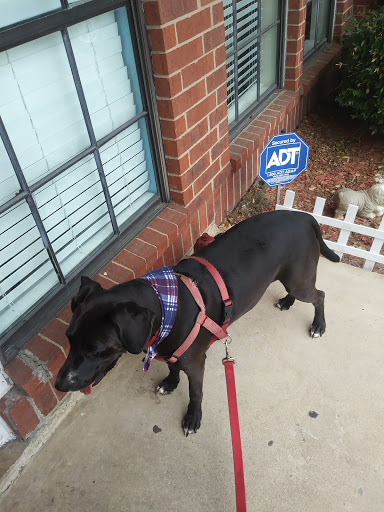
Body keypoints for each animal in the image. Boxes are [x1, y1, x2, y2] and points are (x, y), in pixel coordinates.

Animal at [54, 210, 340, 434]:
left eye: (95, 351)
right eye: (68, 339)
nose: (59, 385)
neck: (166, 307)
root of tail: (303, 216)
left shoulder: (195, 364)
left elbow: (195, 392)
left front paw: (193, 417)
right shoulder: (169, 350)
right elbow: (172, 367)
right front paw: (170, 382)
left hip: (299, 279)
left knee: (320, 295)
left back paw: (318, 325)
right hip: (292, 277)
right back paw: (287, 302)